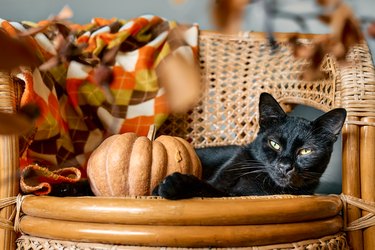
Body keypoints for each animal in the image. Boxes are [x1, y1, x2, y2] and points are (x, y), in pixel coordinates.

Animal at [153, 93, 346, 200]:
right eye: (274, 144)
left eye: (306, 151)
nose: (284, 166)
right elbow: (210, 186)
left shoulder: (228, 195)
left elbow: (207, 189)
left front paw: (173, 184)